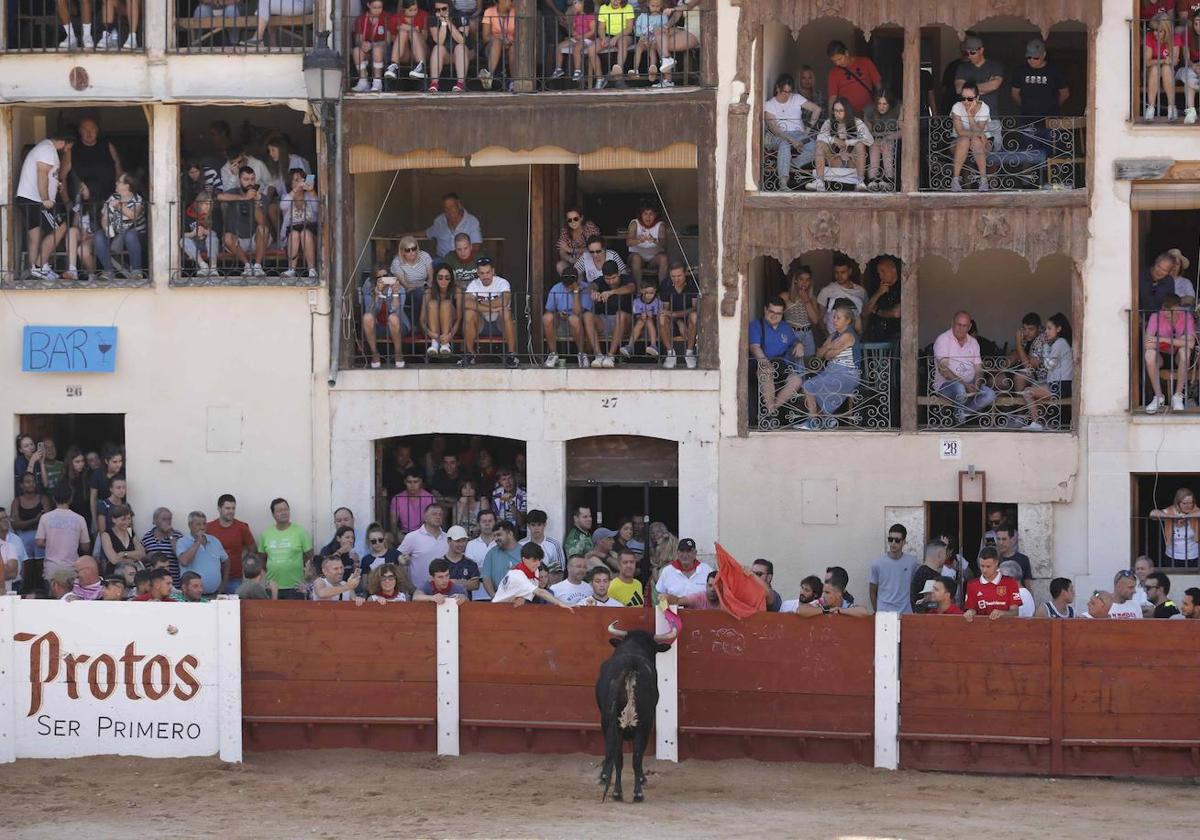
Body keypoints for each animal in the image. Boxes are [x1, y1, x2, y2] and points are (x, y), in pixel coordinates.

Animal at [592, 619, 676, 801]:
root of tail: (631, 665)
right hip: (642, 724)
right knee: (633, 756)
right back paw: (635, 792)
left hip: (615, 723)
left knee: (620, 756)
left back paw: (618, 792)